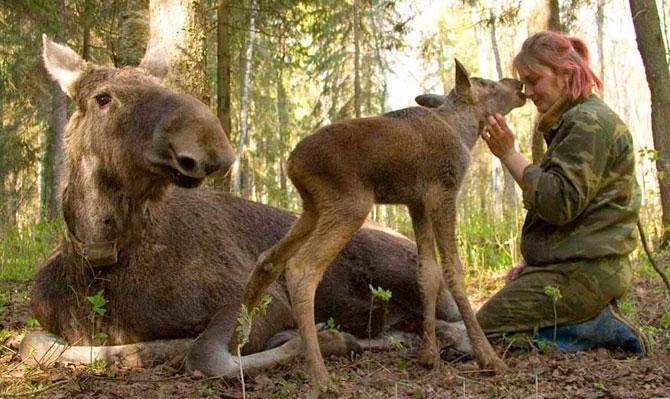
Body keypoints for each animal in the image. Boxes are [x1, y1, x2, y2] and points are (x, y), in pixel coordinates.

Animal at [19, 37, 462, 378]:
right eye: (103, 98)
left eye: (165, 86)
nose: (210, 147)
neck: (103, 262)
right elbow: (36, 344)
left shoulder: (258, 298)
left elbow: (204, 353)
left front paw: (321, 338)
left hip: (396, 264)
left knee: (451, 317)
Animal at [236, 60, 532, 390]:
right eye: (489, 85)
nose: (518, 85)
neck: (465, 131)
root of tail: (290, 164)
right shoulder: (444, 192)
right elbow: (453, 270)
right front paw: (489, 358)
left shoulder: (417, 203)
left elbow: (427, 274)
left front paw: (429, 356)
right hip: (350, 204)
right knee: (302, 267)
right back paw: (320, 375)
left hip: (313, 208)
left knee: (269, 259)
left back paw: (239, 343)